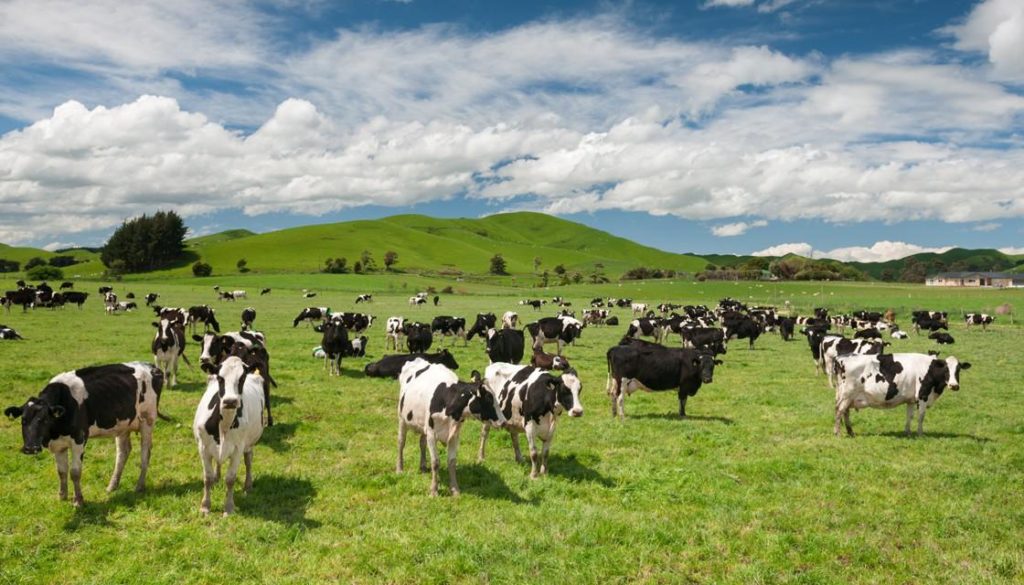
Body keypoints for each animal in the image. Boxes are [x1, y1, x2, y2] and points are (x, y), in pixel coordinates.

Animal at [4, 362, 161, 508]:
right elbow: (61, 471)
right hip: (123, 425)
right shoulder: (58, 445)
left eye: (44, 420)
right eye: (23, 420)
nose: (31, 448)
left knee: (145, 453)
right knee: (123, 453)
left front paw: (78, 500)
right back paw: (112, 486)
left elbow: (74, 472)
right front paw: (62, 496)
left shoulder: (79, 440)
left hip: (147, 420)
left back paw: (139, 486)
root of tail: (150, 366)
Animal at [192, 354, 264, 514]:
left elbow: (230, 479)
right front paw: (205, 506)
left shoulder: (237, 449)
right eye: (220, 378)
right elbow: (207, 477)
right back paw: (217, 478)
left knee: (248, 460)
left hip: (249, 444)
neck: (223, 426)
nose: (230, 401)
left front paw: (229, 507)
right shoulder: (203, 447)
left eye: (242, 378)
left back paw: (248, 485)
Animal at [395, 358, 503, 495]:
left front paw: (455, 490)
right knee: (401, 442)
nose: (503, 421)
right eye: (489, 399)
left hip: (423, 425)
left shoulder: (454, 435)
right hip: (402, 419)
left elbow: (452, 462)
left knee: (422, 443)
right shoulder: (432, 433)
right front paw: (434, 491)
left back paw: (423, 466)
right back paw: (399, 469)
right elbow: (435, 462)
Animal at [835, 350, 970, 436]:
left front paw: (908, 432)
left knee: (845, 411)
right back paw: (837, 433)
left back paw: (850, 432)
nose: (954, 385)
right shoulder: (923, 395)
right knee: (839, 410)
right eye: (946, 369)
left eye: (958, 370)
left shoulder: (911, 399)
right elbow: (921, 416)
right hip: (847, 394)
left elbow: (909, 416)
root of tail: (842, 357)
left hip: (847, 396)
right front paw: (920, 434)